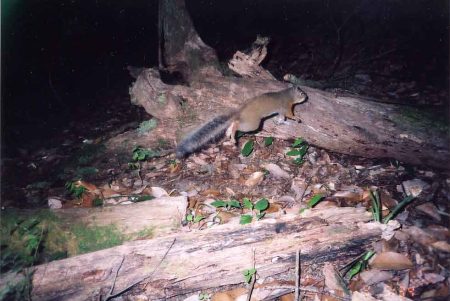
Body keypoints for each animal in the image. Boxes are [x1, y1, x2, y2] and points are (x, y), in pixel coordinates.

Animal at [175, 85, 306, 158]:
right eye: (301, 93)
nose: (306, 97)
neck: (288, 95)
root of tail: (240, 112)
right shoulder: (286, 107)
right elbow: (290, 115)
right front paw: (297, 119)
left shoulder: (281, 111)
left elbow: (281, 118)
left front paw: (282, 122)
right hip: (252, 124)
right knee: (237, 125)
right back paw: (233, 136)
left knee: (233, 123)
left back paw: (228, 133)